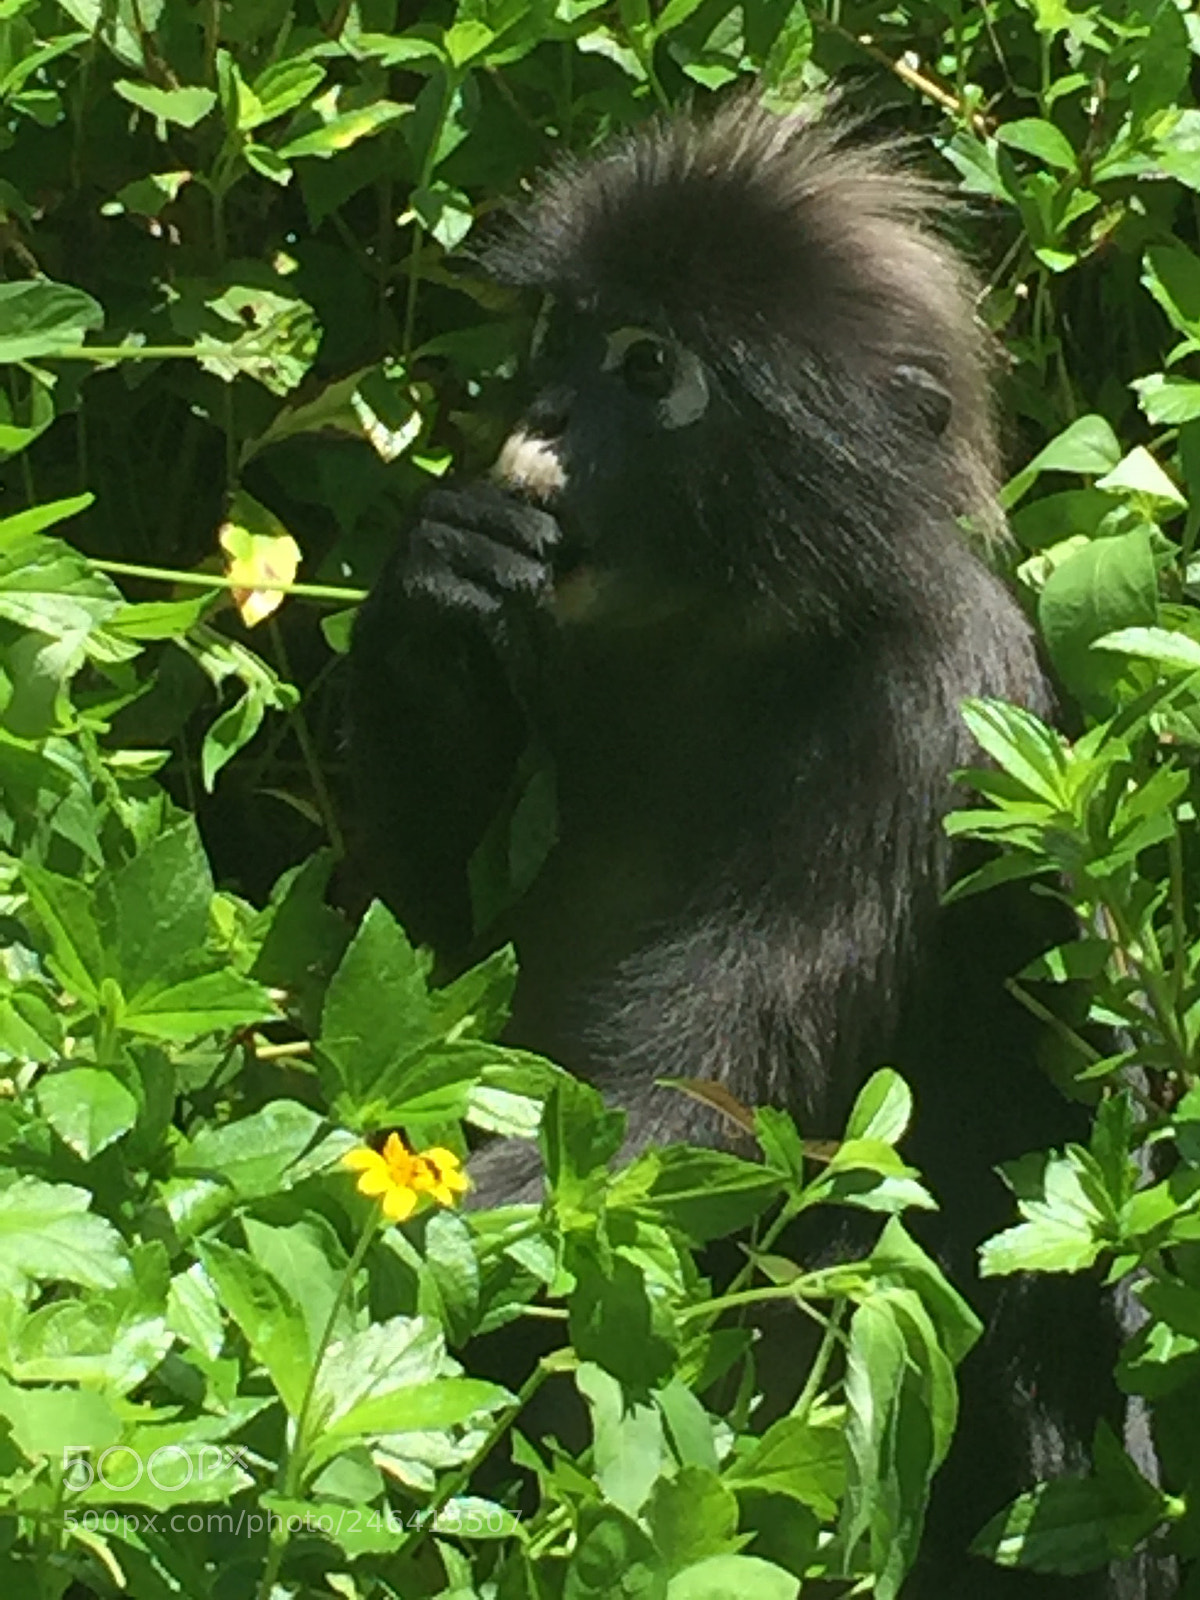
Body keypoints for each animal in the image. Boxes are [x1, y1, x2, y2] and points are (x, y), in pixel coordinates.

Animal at [349, 101, 1171, 1598]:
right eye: (563, 335)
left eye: (648, 368)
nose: (543, 417)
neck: (727, 627)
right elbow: (424, 954)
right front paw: (438, 584)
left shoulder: (926, 716)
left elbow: (704, 1106)